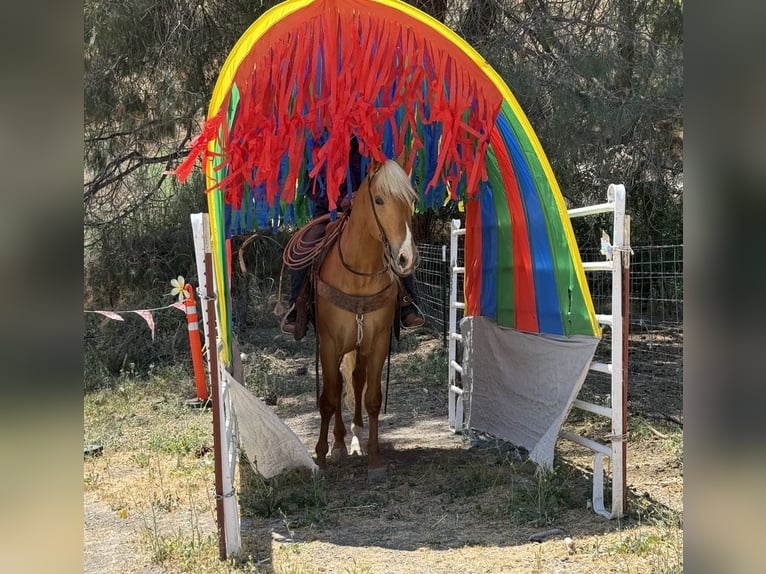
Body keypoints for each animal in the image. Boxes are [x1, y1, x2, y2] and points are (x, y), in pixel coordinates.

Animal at [313, 153, 419, 482]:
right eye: (379, 200)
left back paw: (355, 437)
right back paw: (337, 445)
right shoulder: (329, 343)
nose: (406, 258)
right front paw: (320, 456)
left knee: (356, 381)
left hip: (359, 347)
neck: (359, 275)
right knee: (337, 388)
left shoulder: (379, 341)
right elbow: (329, 398)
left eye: (411, 200)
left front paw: (374, 459)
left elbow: (372, 398)